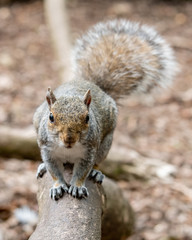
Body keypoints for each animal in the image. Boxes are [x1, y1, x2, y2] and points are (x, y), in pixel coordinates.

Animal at [33, 18, 178, 200]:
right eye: (51, 117)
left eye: (87, 118)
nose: (69, 139)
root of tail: (94, 85)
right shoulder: (47, 149)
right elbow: (54, 171)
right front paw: (58, 185)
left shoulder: (89, 151)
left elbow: (82, 171)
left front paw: (77, 186)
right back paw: (43, 167)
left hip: (105, 145)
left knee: (96, 162)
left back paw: (96, 172)